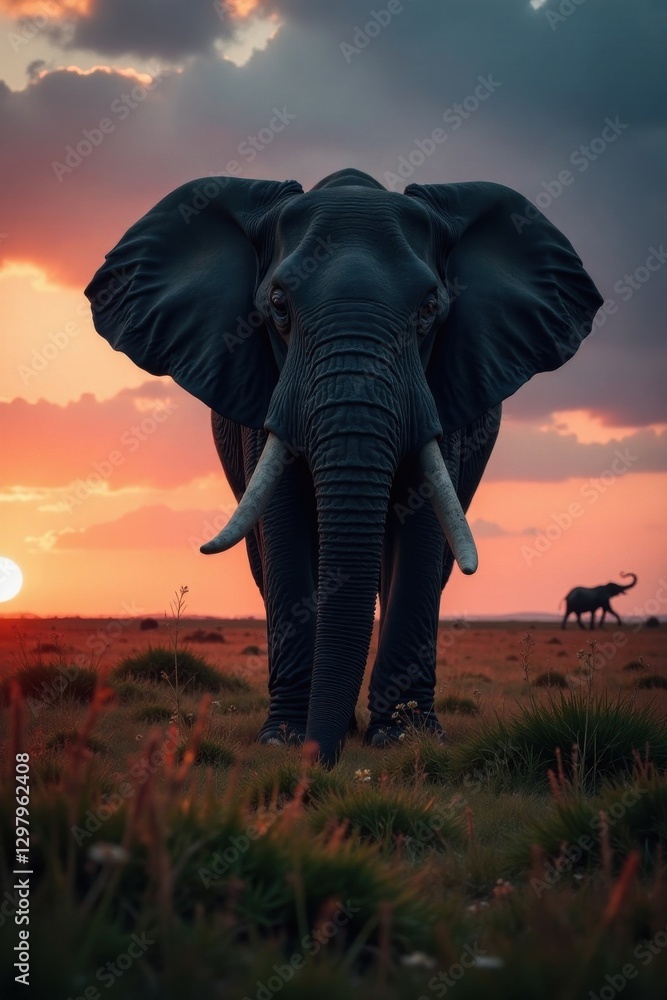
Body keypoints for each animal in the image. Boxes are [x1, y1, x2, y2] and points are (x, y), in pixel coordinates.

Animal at [85, 167, 602, 766]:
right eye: (278, 305)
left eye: (430, 307)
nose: (321, 761)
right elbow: (284, 528)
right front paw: (285, 738)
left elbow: (422, 530)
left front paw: (403, 738)